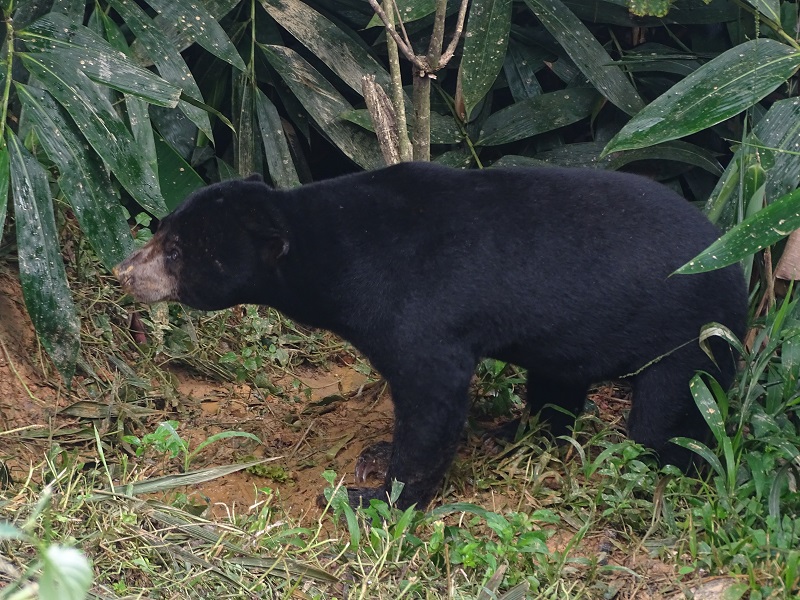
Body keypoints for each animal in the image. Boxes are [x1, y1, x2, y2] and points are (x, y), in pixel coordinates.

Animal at [114, 161, 748, 510]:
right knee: (558, 387)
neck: (334, 253)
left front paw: (370, 497)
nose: (122, 271)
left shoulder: (421, 318)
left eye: (176, 251)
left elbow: (431, 405)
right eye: (164, 232)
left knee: (668, 415)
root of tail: (736, 264)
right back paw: (511, 432)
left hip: (689, 334)